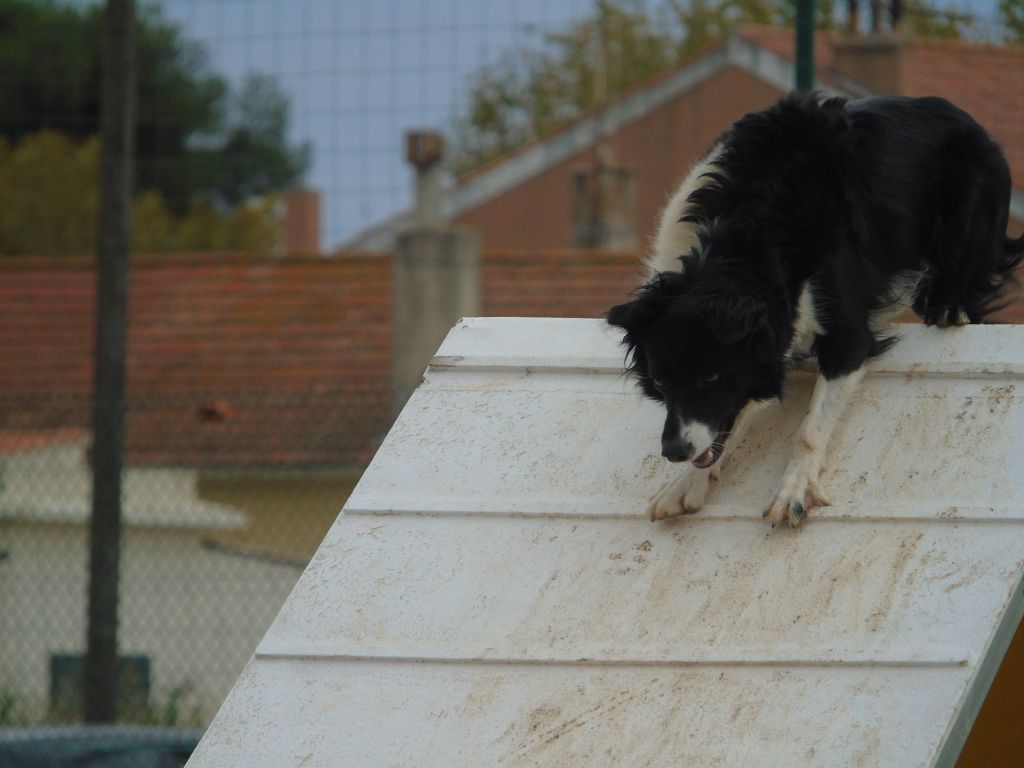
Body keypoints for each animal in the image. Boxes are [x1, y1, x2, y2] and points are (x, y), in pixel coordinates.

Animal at [610, 93, 1019, 528]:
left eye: (711, 377)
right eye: (660, 381)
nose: (673, 452)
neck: (742, 245)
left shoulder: (846, 332)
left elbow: (808, 426)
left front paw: (792, 492)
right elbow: (732, 416)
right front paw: (687, 484)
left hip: (967, 212)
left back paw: (948, 308)